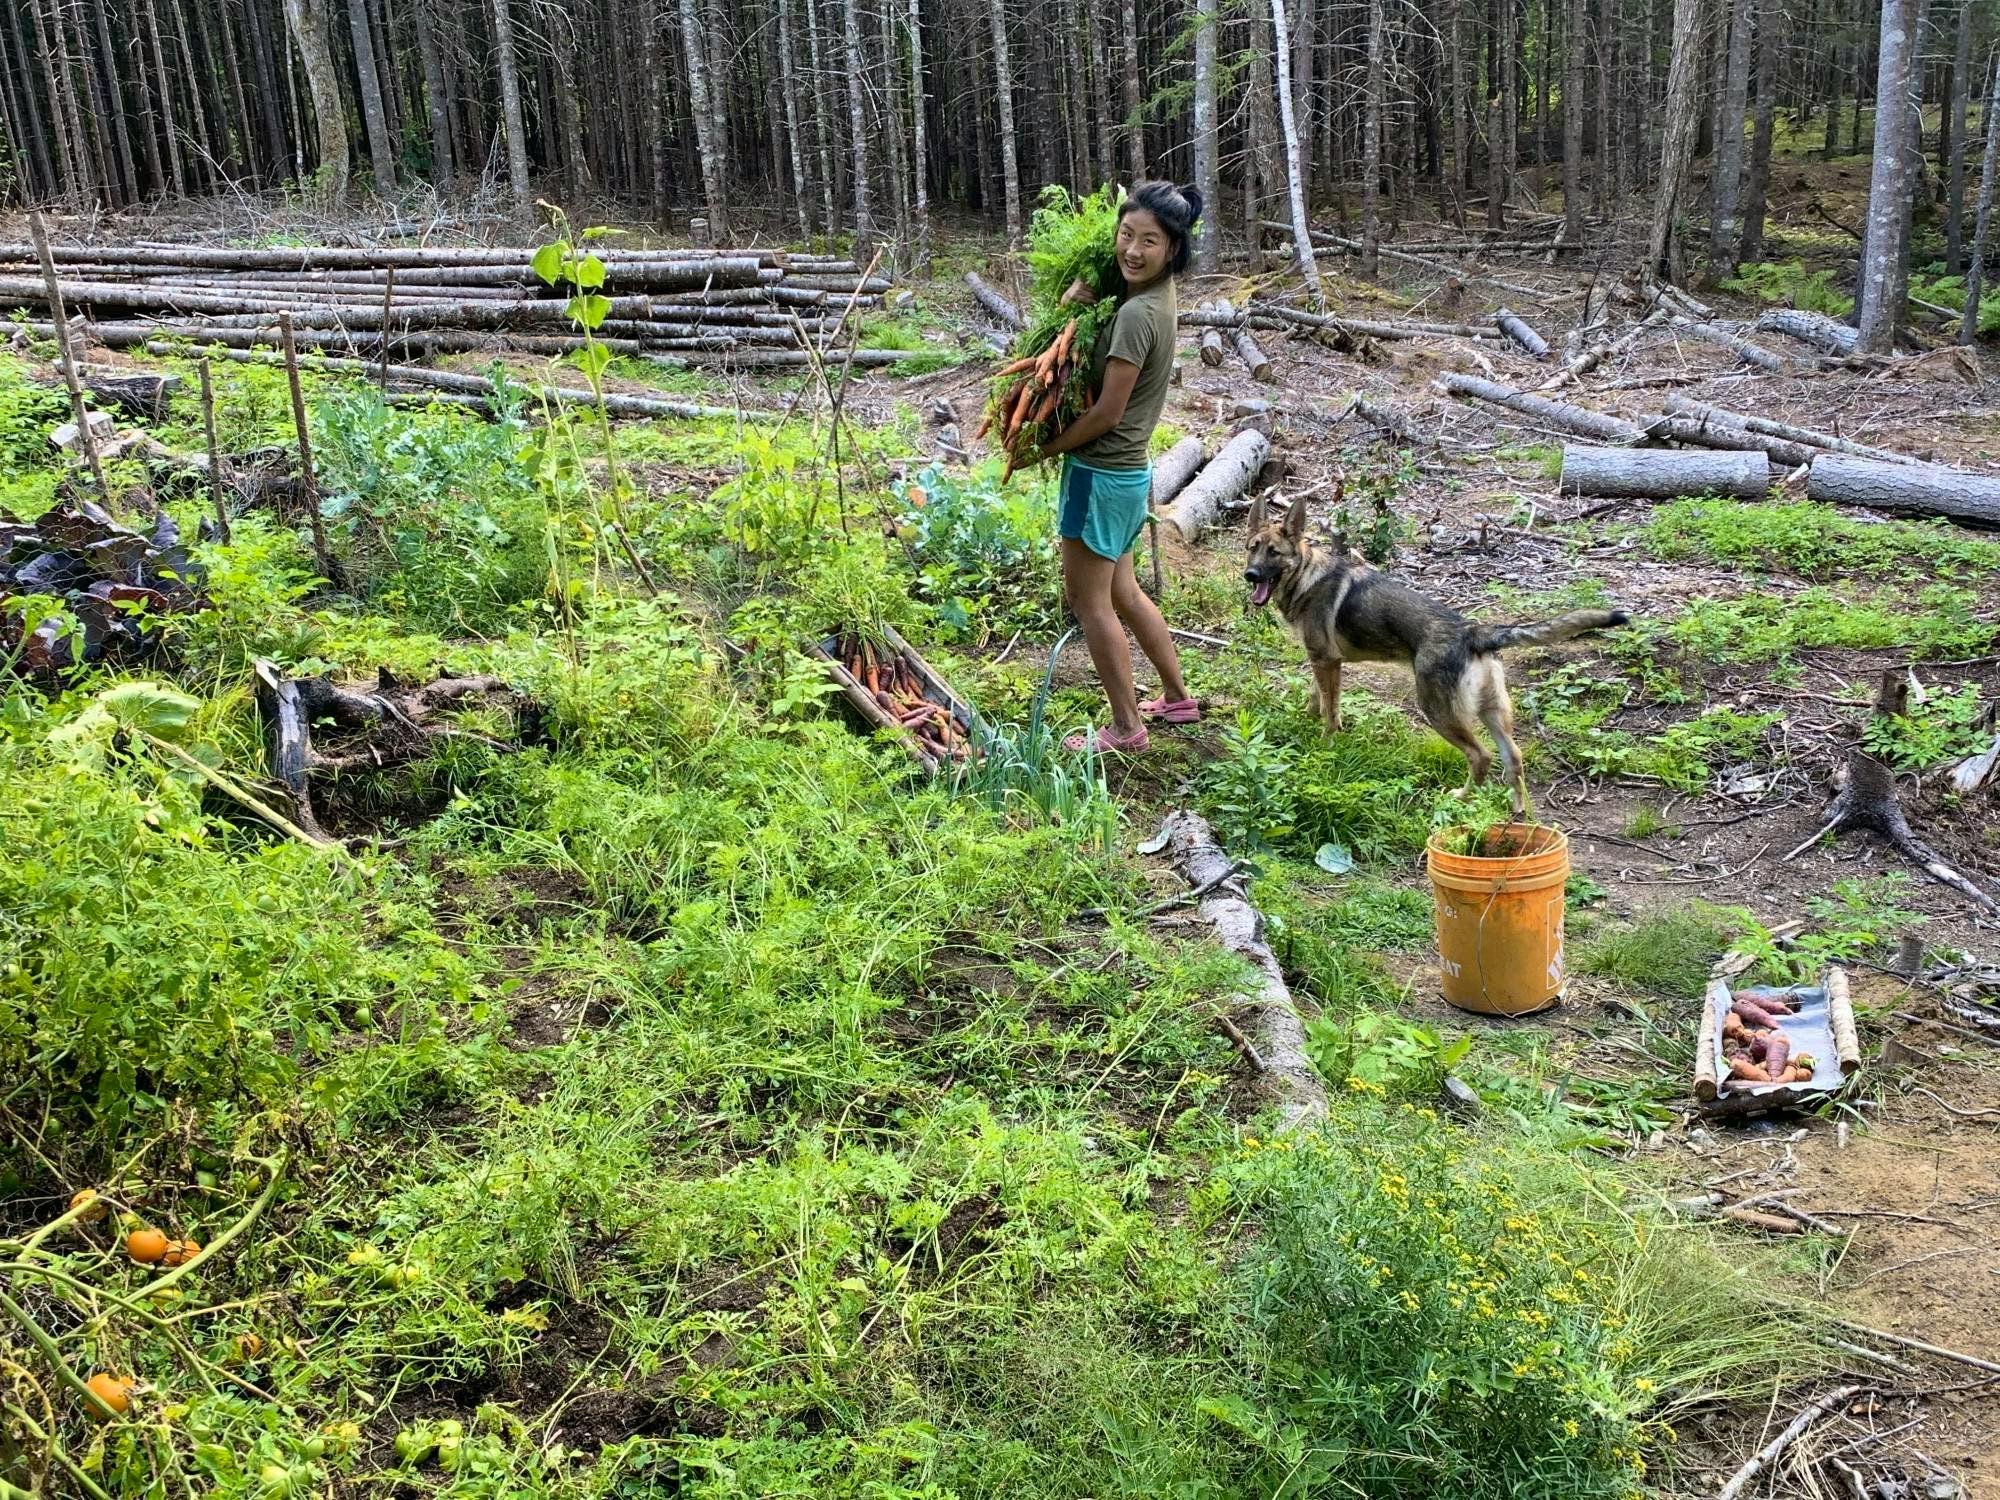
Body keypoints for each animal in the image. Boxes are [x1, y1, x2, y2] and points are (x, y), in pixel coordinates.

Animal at [1248, 490, 1624, 824]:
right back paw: (1516, 809)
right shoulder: (1322, 660)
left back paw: (1461, 798)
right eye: (1252, 548)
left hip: (1437, 712)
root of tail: (1473, 631)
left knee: (1481, 756)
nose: (1250, 575)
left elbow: (1331, 712)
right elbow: (1318, 699)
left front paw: (1325, 743)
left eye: (1274, 553)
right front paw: (1306, 721)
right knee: (1513, 759)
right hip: (1491, 714)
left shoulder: (1327, 661)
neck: (1306, 576)